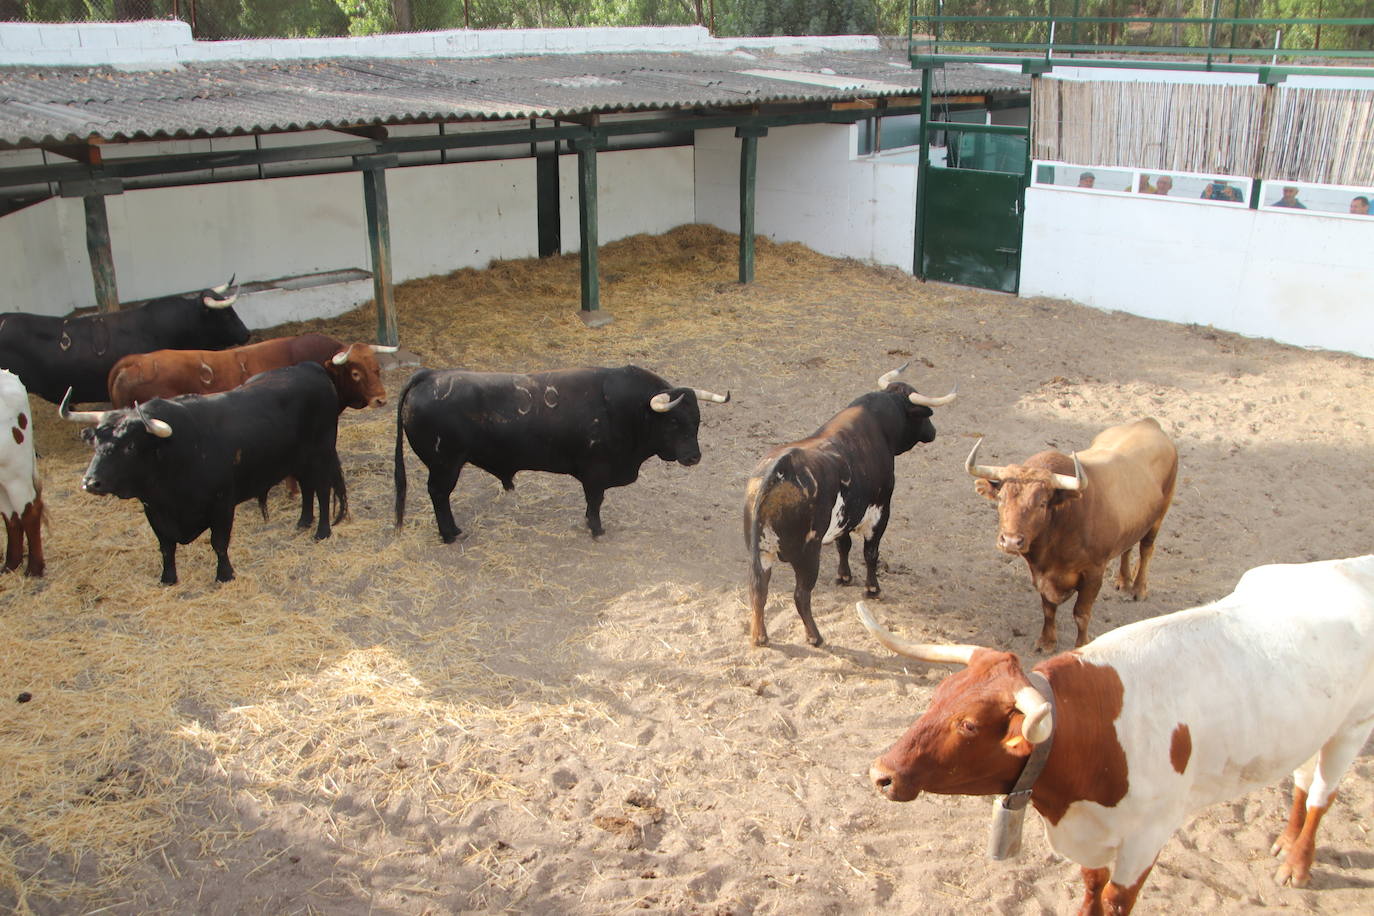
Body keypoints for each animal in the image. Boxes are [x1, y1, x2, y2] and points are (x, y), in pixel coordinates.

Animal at [395, 362, 730, 541]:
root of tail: (429, 375)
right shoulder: (595, 473)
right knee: (439, 494)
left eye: (697, 419)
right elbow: (595, 502)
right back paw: (450, 533)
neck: (625, 410)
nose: (694, 457)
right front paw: (596, 529)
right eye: (673, 421)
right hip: (445, 464)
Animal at [741, 362, 956, 648]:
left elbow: (844, 545)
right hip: (808, 555)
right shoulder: (879, 511)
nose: (933, 432)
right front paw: (873, 589)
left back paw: (760, 636)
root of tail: (779, 469)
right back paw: (815, 636)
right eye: (920, 416)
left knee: (758, 590)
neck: (878, 427)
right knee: (801, 595)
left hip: (760, 554)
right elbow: (870, 553)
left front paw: (844, 576)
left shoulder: (845, 516)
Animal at [862, 554, 1374, 911]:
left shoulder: (1146, 840)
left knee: (1323, 794)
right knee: (1303, 781)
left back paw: (1297, 863)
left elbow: (1114, 899)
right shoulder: (1091, 837)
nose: (881, 772)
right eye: (938, 696)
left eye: (968, 724)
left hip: (1352, 728)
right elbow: (1092, 888)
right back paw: (1285, 842)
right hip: (1311, 726)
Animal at [967, 420, 1181, 656]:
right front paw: (1047, 641)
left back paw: (1138, 589)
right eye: (1001, 498)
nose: (1012, 541)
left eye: (1042, 503)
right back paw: (1123, 581)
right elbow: (1048, 608)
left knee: (1146, 548)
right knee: (1128, 547)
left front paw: (1081, 645)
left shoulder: (1094, 573)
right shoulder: (1041, 574)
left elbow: (1081, 614)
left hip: (1160, 514)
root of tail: (1148, 422)